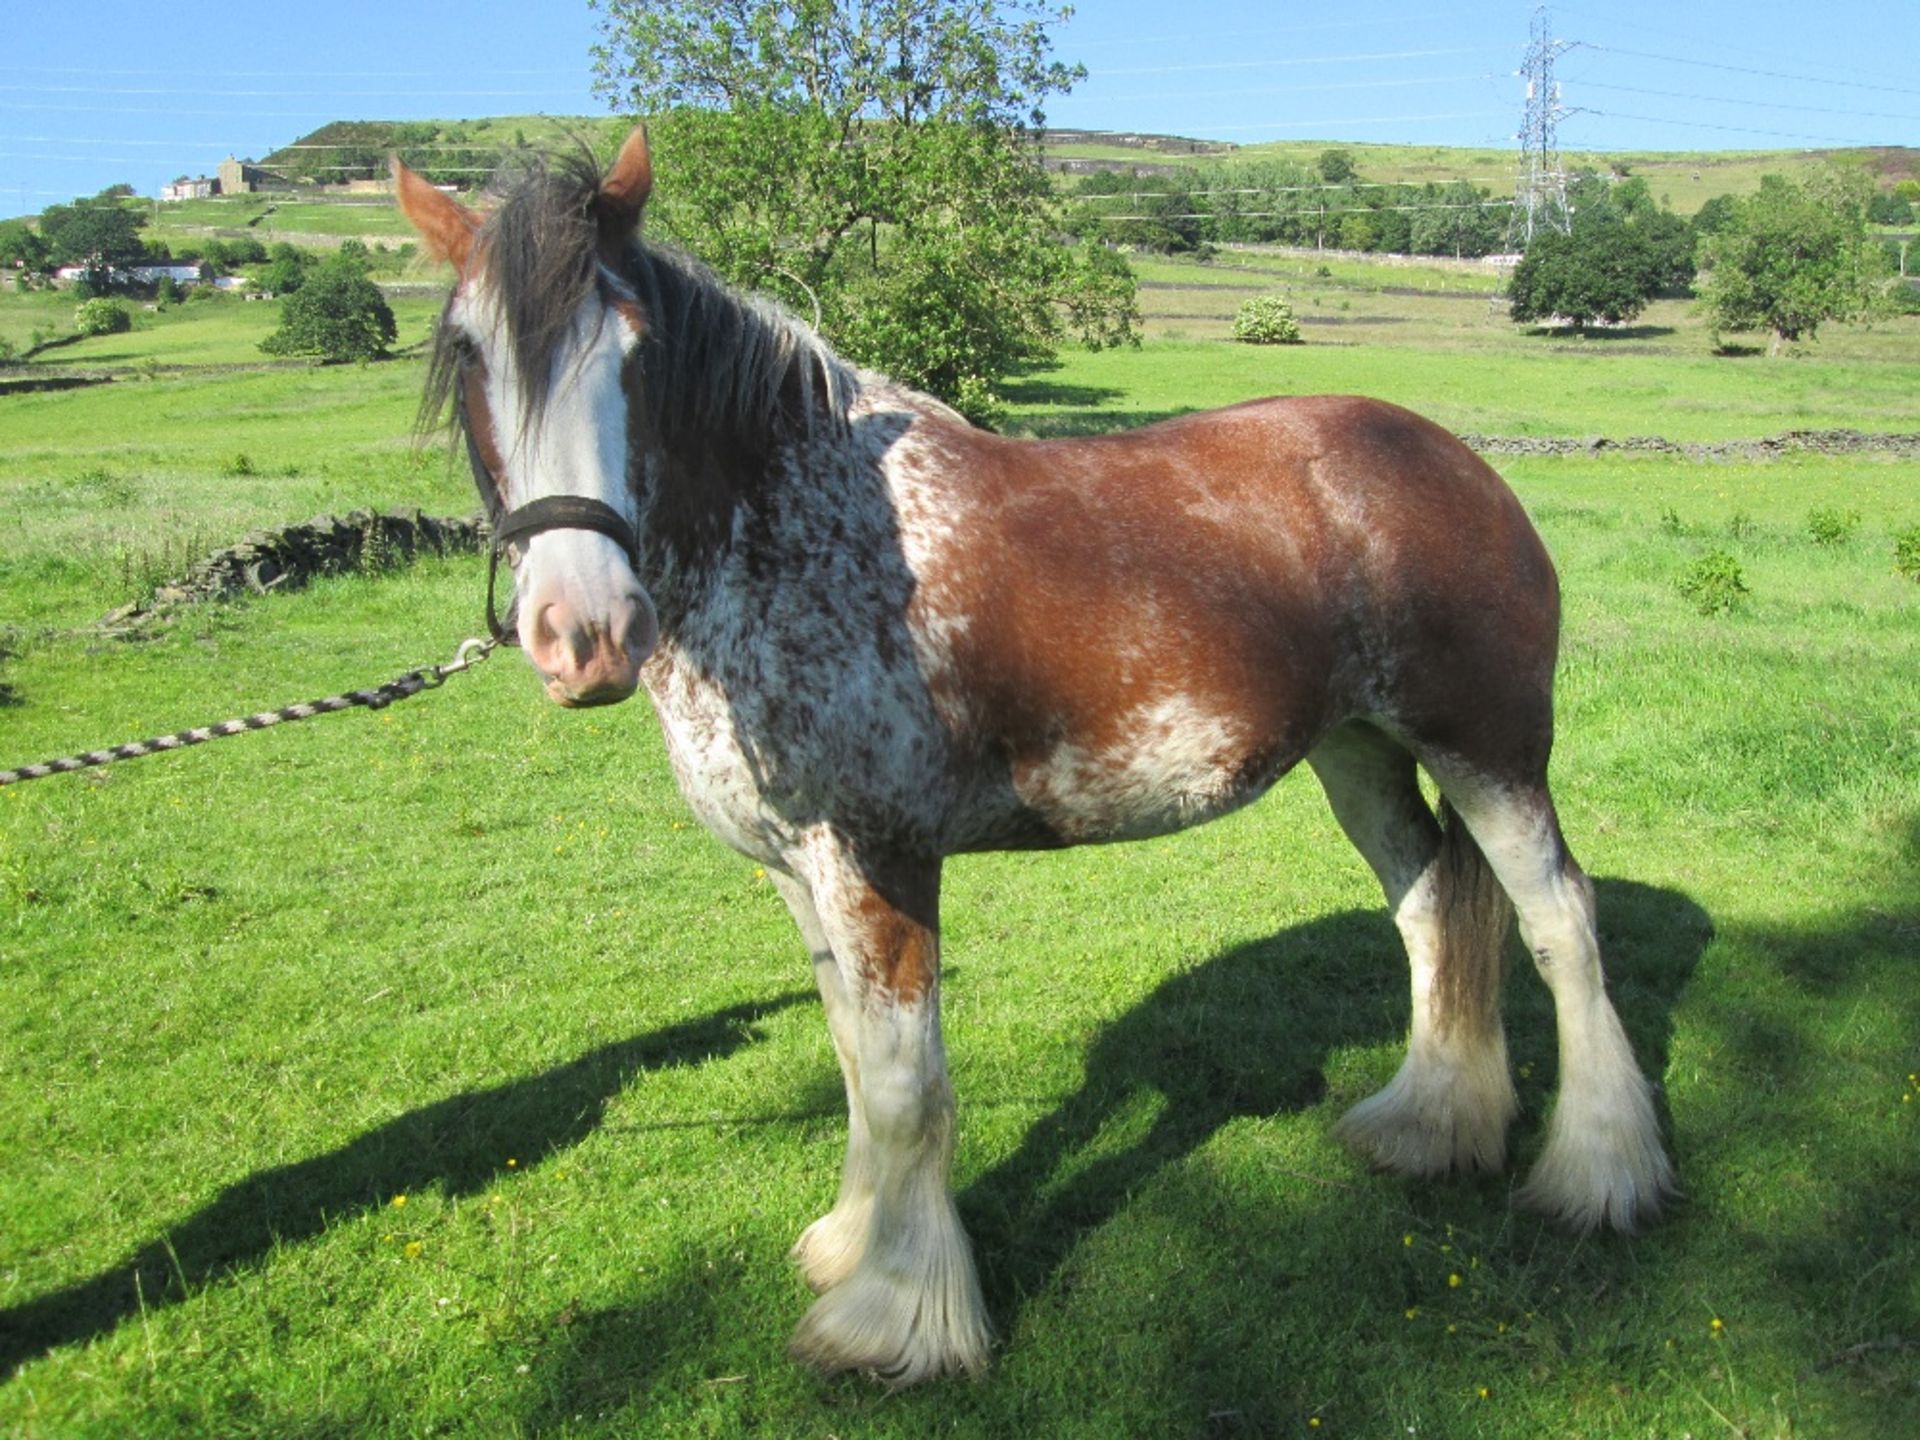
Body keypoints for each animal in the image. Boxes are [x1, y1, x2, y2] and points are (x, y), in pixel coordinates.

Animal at [393, 132, 1681, 1390]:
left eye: (636, 349)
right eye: (466, 349)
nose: (583, 632)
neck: (796, 535)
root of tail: (1454, 462)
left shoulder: (880, 859)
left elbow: (906, 1088)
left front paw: (897, 1322)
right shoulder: (798, 872)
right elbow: (853, 1059)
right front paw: (849, 1246)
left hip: (1488, 749)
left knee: (1560, 923)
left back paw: (1599, 1176)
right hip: (1360, 756)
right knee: (1431, 906)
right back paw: (1428, 1127)